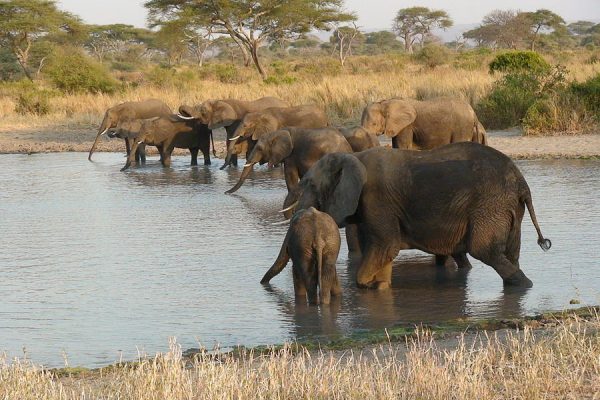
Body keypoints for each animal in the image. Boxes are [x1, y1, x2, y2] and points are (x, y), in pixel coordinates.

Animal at [292, 144, 552, 290]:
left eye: (309, 184)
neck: (353, 156)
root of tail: (521, 183)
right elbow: (385, 251)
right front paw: (381, 284)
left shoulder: (377, 199)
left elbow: (386, 245)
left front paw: (369, 284)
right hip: (508, 208)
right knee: (510, 253)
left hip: (490, 204)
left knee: (484, 250)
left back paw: (524, 286)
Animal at [360, 97, 488, 150]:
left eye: (374, 124)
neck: (385, 103)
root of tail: (473, 113)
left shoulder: (407, 126)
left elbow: (402, 146)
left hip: (462, 127)